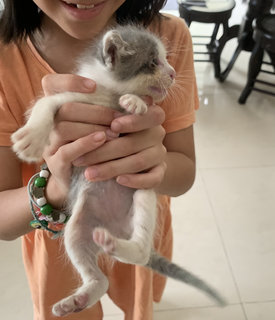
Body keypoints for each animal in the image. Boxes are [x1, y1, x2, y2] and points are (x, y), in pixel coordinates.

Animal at [11, 25, 226, 316]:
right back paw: (78, 299)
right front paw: (32, 139)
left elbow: (145, 108)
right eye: (152, 62)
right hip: (76, 228)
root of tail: (116, 229)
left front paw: (135, 103)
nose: (172, 73)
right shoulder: (71, 98)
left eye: (165, 59)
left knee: (141, 251)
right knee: (99, 277)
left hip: (143, 194)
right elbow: (45, 104)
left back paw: (118, 246)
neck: (109, 95)